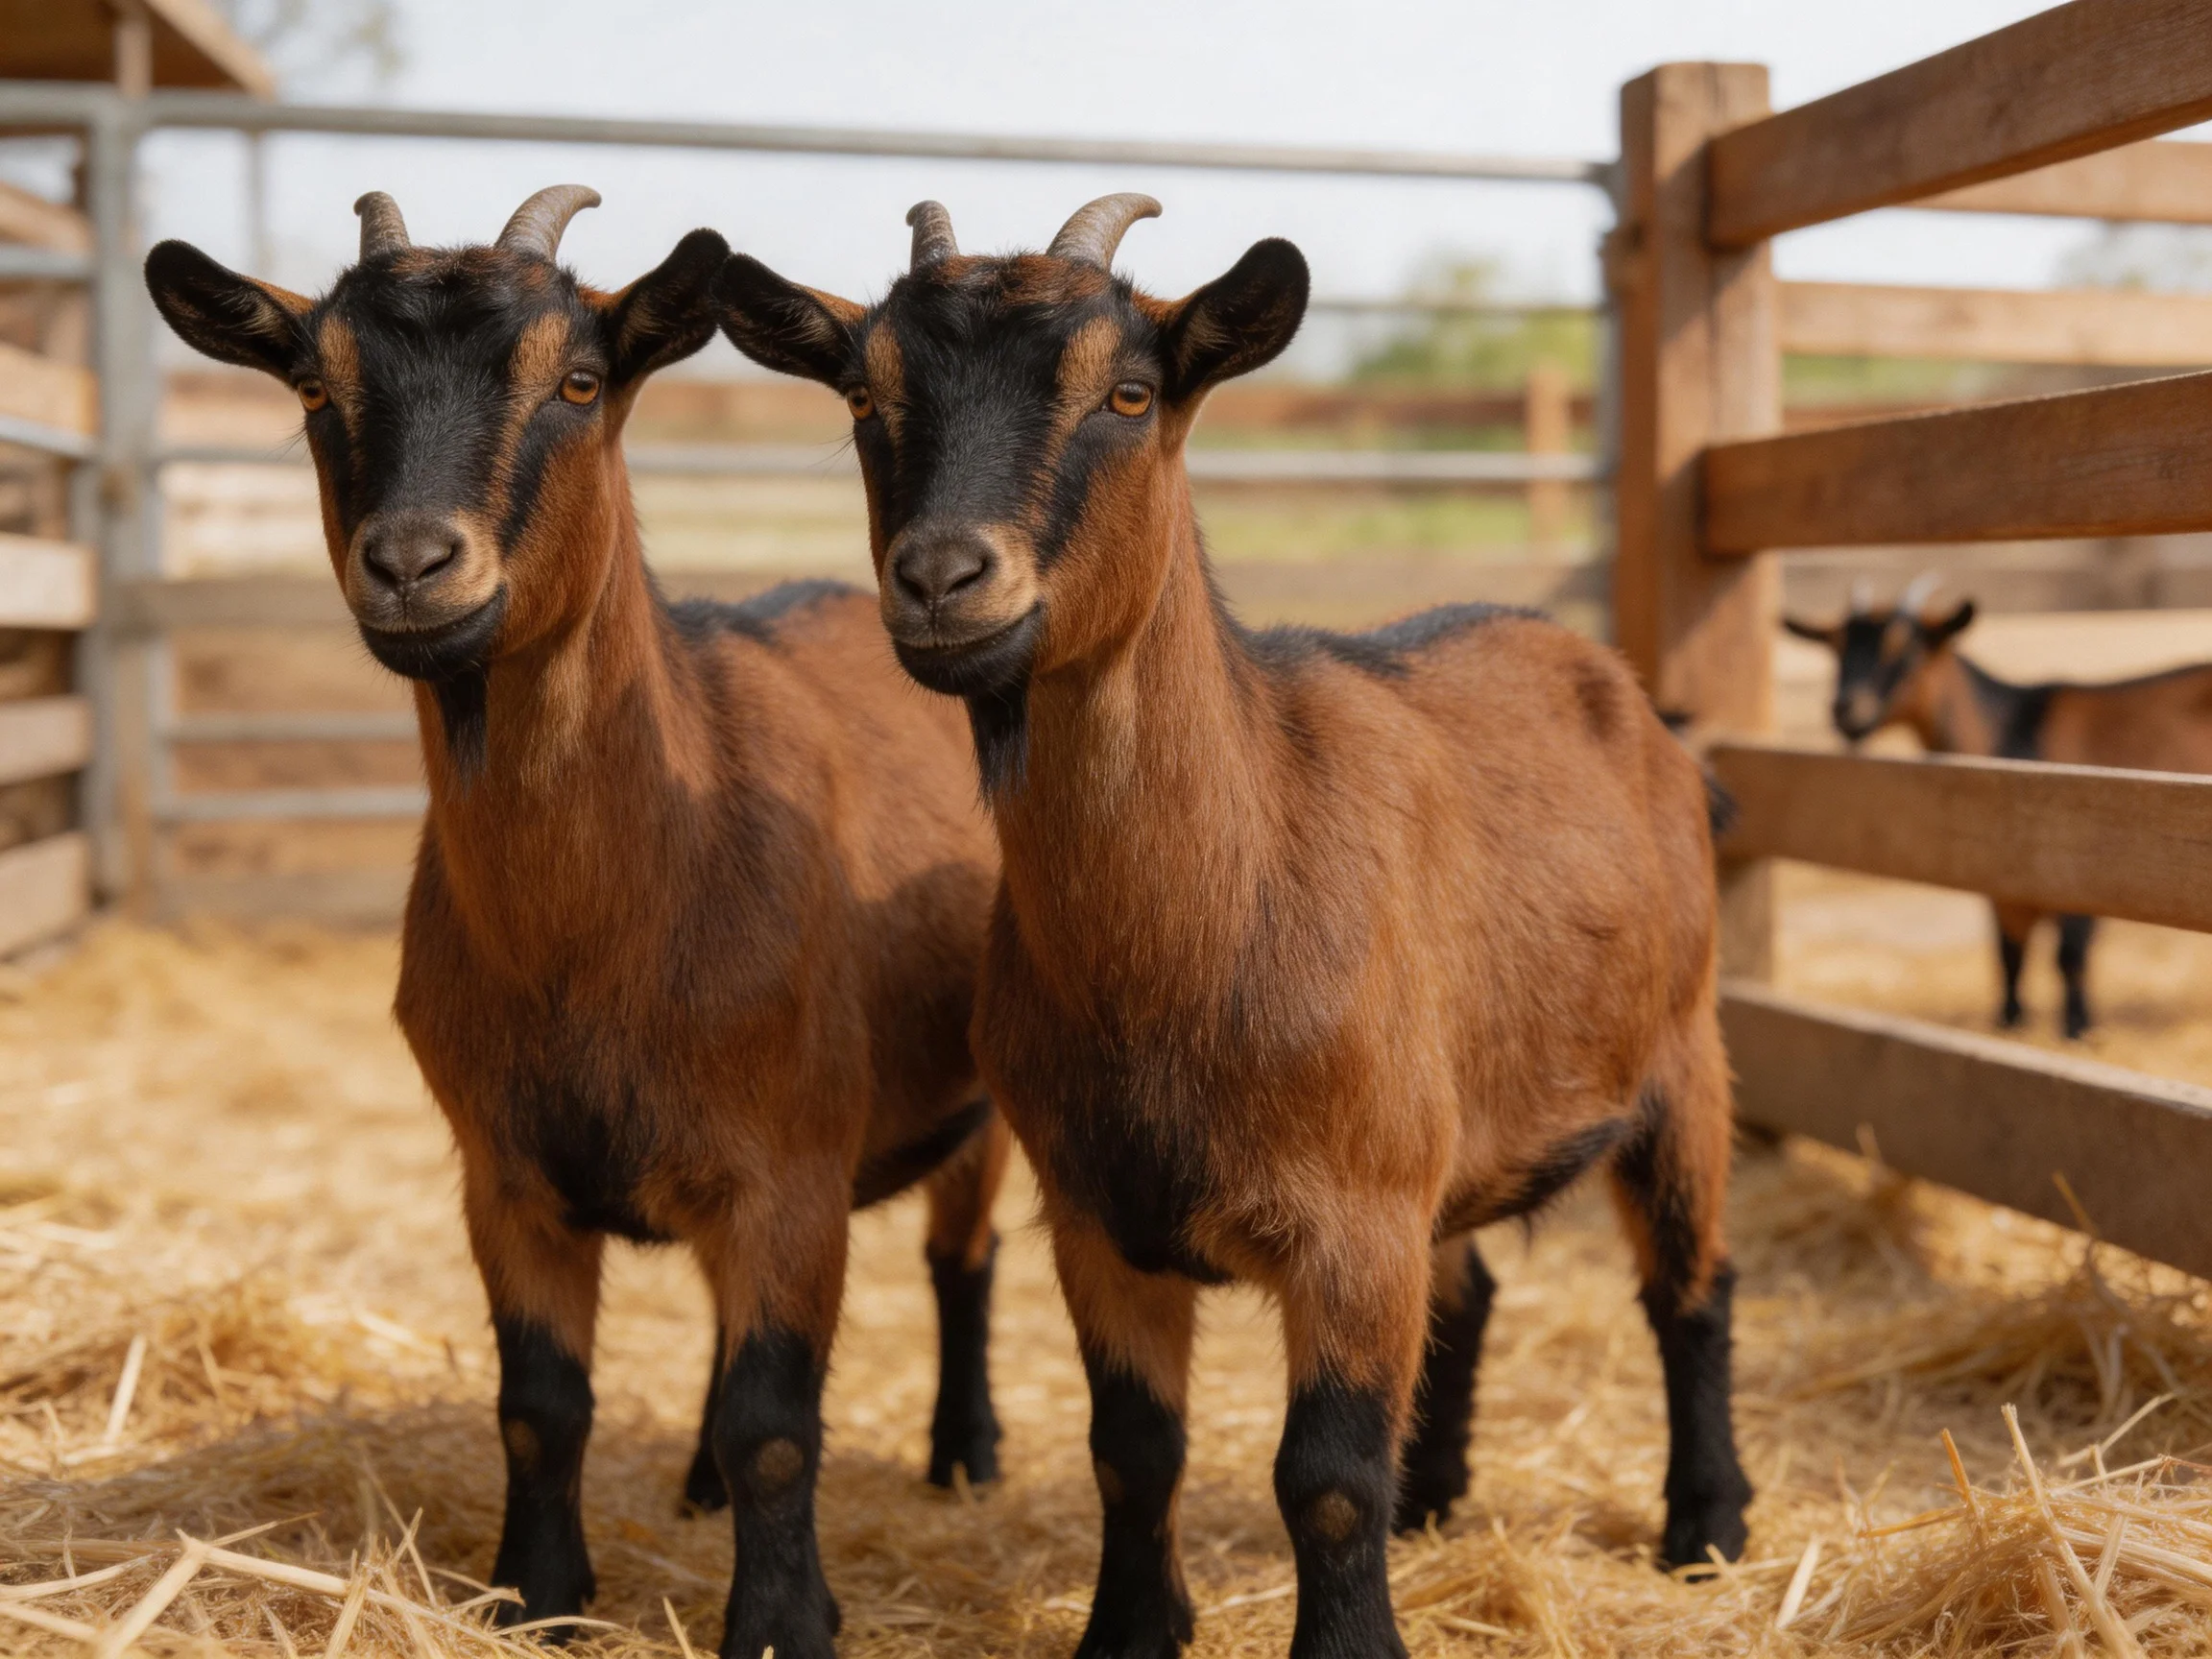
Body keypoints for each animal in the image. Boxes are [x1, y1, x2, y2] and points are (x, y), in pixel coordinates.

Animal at [145, 187, 1009, 1659]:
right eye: (317, 385)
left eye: (579, 381)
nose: (414, 563)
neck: (606, 931)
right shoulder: (504, 1168)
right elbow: (541, 1407)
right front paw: (536, 1597)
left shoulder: (790, 1168)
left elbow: (781, 1424)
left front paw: (783, 1622)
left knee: (965, 1255)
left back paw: (967, 1454)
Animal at [717, 195, 1751, 1659]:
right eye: (867, 395)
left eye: (1130, 394)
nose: (942, 579)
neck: (1213, 915)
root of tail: (1625, 692)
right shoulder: (1097, 1209)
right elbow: (1134, 1448)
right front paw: (1130, 1635)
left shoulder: (1355, 1220)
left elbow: (1324, 1477)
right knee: (1475, 1292)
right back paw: (1439, 1498)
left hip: (1683, 1053)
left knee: (1692, 1288)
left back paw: (1706, 1529)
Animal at [1787, 577, 2212, 1039]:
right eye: (1836, 647)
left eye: (1907, 648)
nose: (1846, 710)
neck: (2009, 734)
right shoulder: (1999, 880)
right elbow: (2009, 956)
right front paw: (2010, 1023)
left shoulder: (2084, 872)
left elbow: (2070, 957)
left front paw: (2077, 1029)